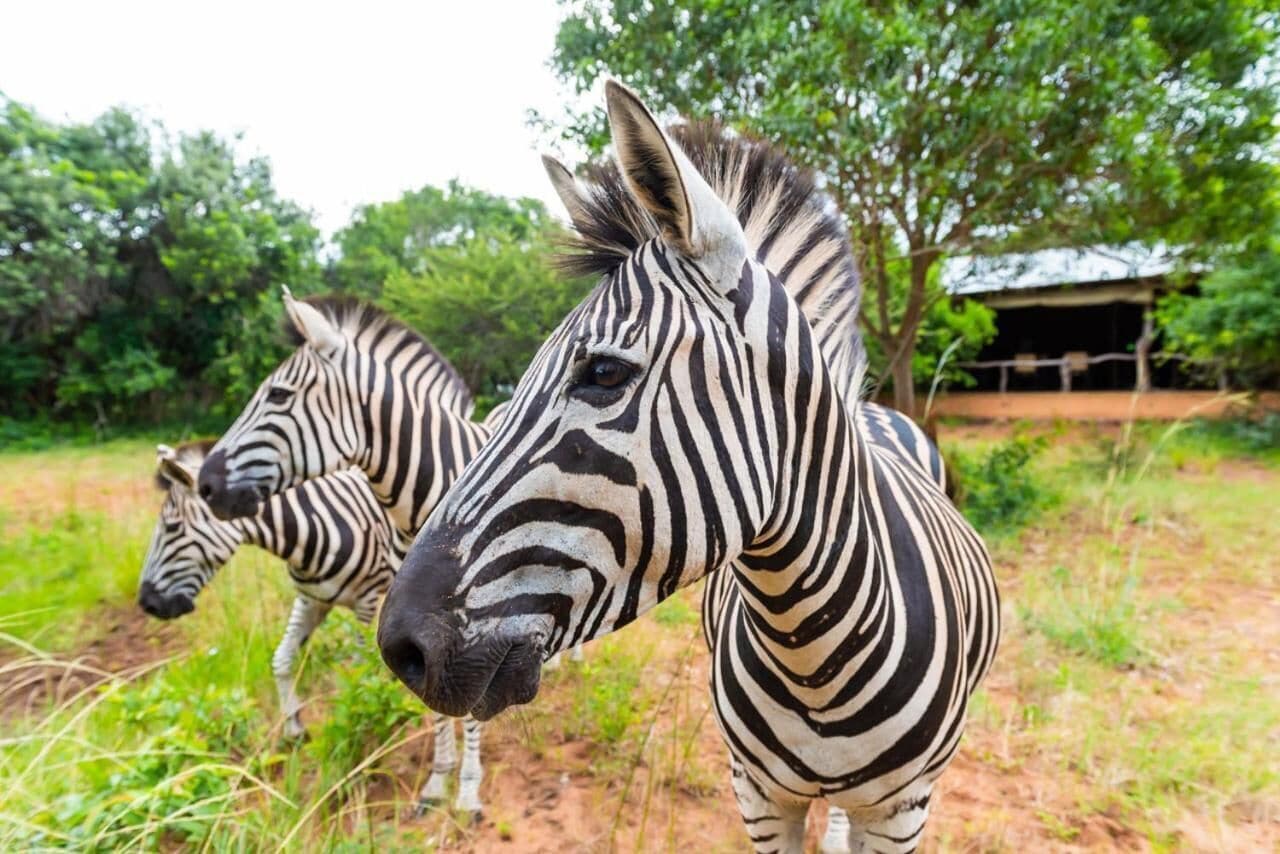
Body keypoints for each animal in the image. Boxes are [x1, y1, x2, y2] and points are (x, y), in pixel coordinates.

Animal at [138, 441, 486, 813]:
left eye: (172, 527)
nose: (147, 603)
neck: (309, 529)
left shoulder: (368, 600)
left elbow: (357, 675)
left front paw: (364, 731)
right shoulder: (312, 600)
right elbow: (282, 659)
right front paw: (294, 727)